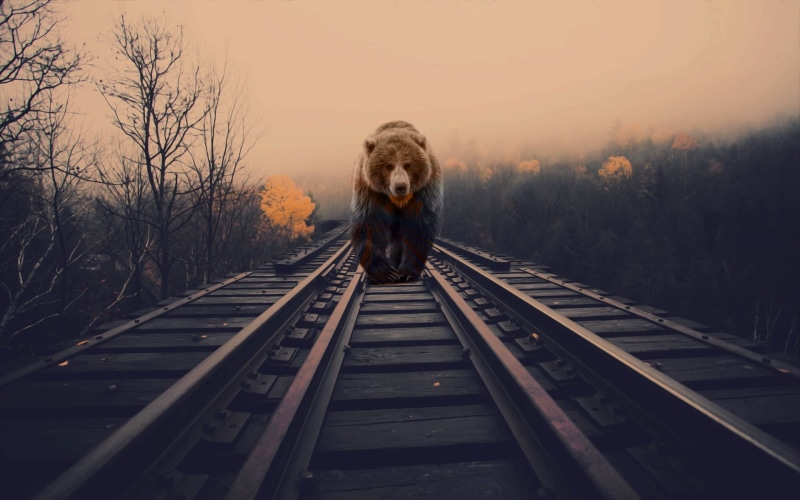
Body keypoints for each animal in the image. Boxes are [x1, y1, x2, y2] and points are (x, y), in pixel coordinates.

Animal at [349, 121, 443, 284]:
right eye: (388, 165)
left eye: (408, 164)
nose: (400, 186)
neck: (398, 201)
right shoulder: (370, 191)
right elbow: (370, 226)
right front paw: (386, 273)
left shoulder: (423, 192)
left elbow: (416, 228)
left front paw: (406, 273)